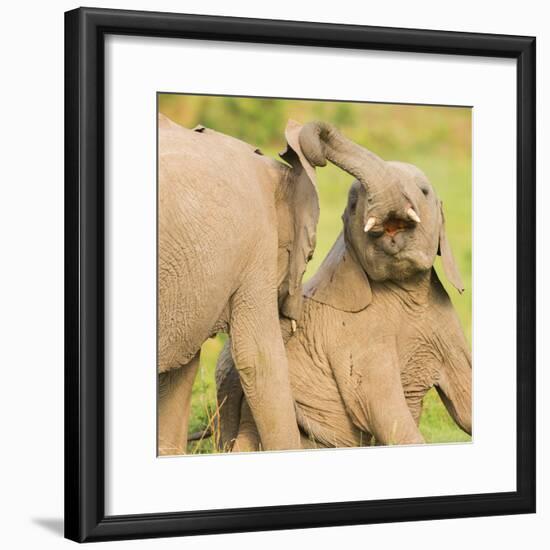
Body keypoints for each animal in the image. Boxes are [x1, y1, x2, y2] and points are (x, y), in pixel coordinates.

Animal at [218, 122, 472, 452]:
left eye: (425, 192)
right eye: (353, 205)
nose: (294, 142)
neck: (406, 288)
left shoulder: (445, 322)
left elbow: (465, 400)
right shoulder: (356, 338)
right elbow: (384, 409)